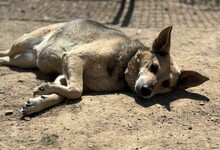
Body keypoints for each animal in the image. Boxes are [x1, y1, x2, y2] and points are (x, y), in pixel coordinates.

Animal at [0, 18, 209, 115]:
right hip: (21, 42)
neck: (123, 65)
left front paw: (40, 99)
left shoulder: (64, 75)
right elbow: (76, 90)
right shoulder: (73, 57)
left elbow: (66, 92)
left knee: (7, 59)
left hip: (24, 60)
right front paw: (43, 92)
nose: (146, 90)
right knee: (6, 51)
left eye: (166, 85)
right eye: (154, 67)